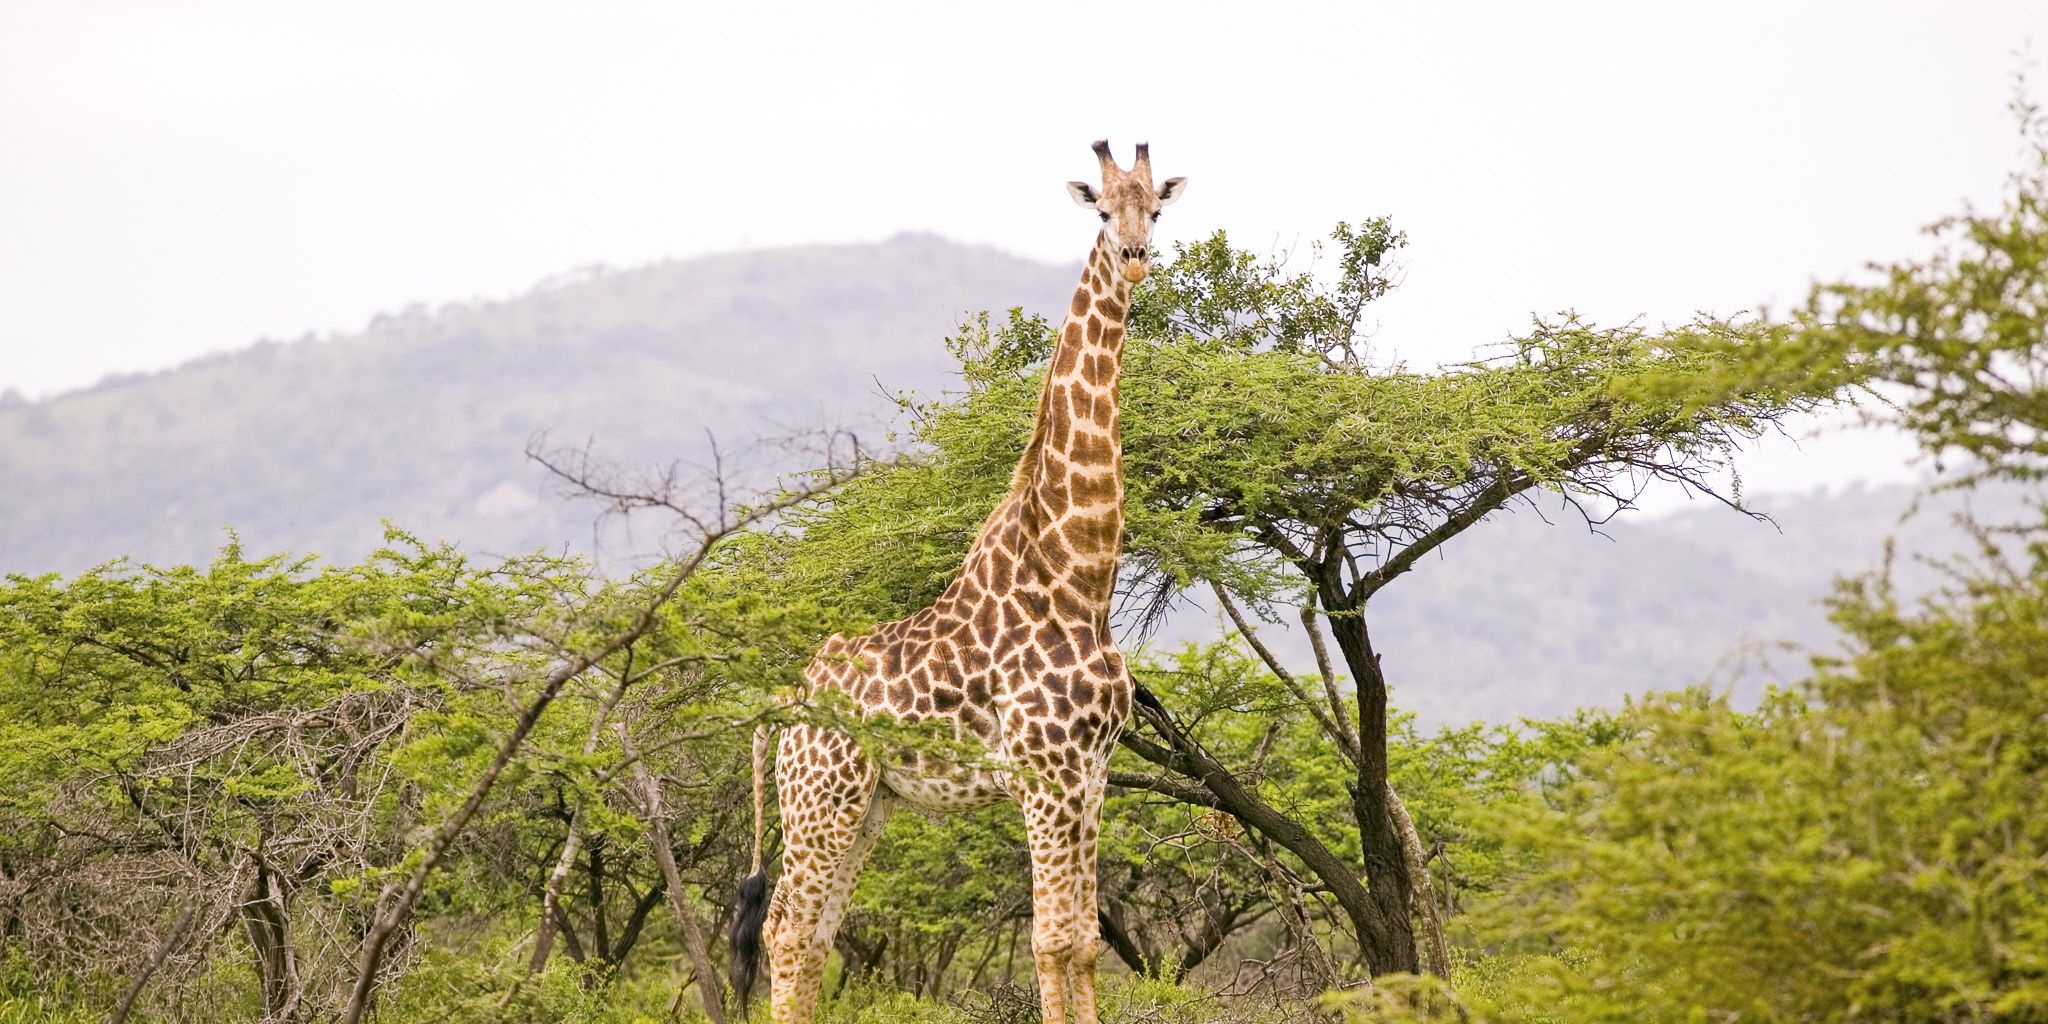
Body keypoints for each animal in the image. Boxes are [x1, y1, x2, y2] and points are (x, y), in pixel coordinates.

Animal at [727, 141, 1186, 1024]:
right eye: (1102, 210)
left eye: (1157, 209)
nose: (1137, 258)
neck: (1078, 578)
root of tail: (786, 704)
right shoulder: (1044, 774)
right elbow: (1051, 941)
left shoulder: (1091, 775)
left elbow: (1083, 942)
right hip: (821, 799)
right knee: (786, 933)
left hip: (866, 805)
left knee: (814, 937)